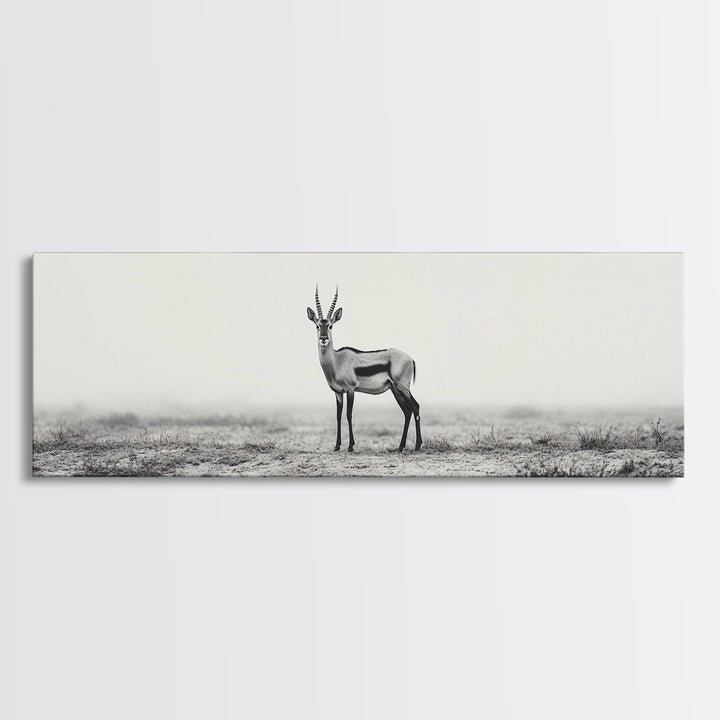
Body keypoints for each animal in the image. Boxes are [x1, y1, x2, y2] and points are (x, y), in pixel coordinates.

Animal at [307, 285, 422, 452]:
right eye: (317, 325)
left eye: (330, 325)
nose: (323, 338)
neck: (337, 360)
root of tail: (410, 358)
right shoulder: (338, 393)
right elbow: (338, 416)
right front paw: (336, 446)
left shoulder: (350, 390)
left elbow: (348, 415)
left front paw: (350, 446)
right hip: (395, 389)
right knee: (407, 412)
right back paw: (400, 447)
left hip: (403, 388)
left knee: (415, 407)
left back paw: (417, 446)